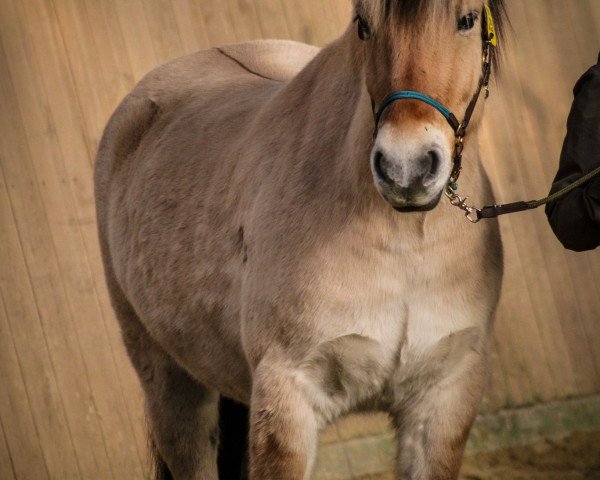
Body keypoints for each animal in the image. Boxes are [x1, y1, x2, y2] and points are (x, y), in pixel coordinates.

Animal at [95, 1, 506, 478]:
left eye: (467, 19)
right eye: (364, 26)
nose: (406, 169)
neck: (404, 245)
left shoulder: (443, 401)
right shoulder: (288, 397)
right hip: (172, 389)